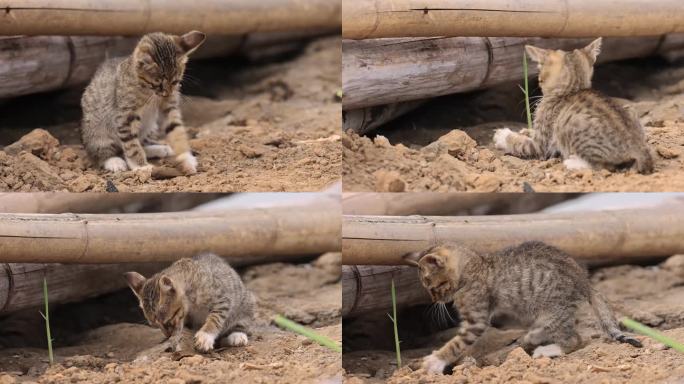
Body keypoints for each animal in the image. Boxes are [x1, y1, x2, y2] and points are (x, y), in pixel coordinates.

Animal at [79, 31, 203, 174]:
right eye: (158, 84)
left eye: (175, 82)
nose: (167, 94)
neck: (149, 92)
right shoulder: (125, 115)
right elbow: (131, 143)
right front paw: (141, 166)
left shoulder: (169, 108)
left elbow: (176, 130)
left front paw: (186, 158)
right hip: (97, 129)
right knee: (102, 152)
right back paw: (113, 161)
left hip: (150, 126)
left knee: (141, 143)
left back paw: (158, 149)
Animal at [124, 254, 255, 352]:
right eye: (156, 326)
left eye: (168, 322)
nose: (167, 336)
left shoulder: (222, 299)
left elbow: (215, 318)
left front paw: (205, 336)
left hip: (247, 305)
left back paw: (237, 336)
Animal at [404, 242, 640, 374]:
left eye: (432, 288)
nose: (435, 300)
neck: (473, 267)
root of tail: (584, 280)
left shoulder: (476, 320)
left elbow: (455, 343)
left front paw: (435, 361)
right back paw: (532, 338)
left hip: (553, 310)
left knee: (575, 339)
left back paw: (548, 349)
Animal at [494, 37, 656, 172]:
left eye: (540, 79)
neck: (572, 89)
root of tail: (638, 147)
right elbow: (529, 133)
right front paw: (524, 131)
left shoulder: (540, 146)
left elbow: (519, 142)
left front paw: (503, 135)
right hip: (630, 112)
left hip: (571, 129)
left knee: (603, 167)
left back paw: (573, 163)